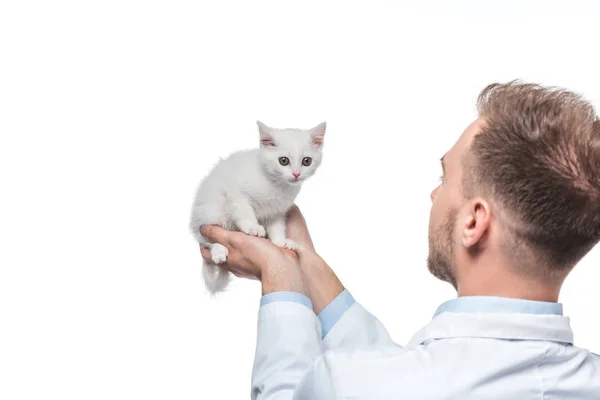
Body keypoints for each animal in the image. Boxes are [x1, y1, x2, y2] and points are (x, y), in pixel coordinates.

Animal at [190, 120, 326, 292]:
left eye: (306, 161)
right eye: (283, 161)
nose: (296, 174)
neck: (277, 184)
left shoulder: (277, 210)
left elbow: (277, 226)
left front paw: (280, 242)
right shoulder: (234, 190)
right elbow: (244, 211)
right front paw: (252, 227)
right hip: (209, 212)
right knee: (205, 241)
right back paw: (218, 250)